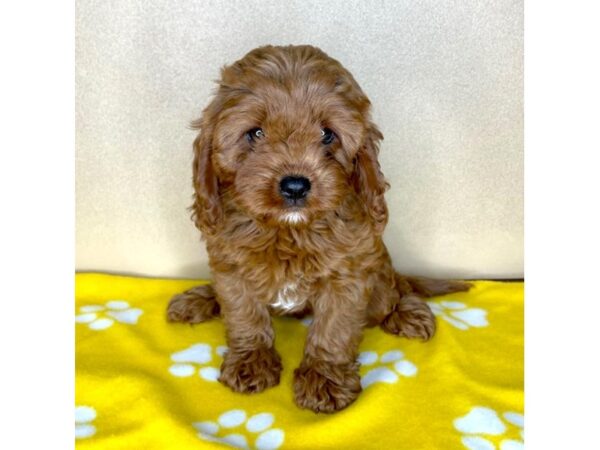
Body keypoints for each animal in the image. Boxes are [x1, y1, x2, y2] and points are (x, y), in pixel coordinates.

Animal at [166, 46, 472, 414]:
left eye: (327, 134)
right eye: (255, 133)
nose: (295, 186)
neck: (288, 232)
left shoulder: (348, 276)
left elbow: (333, 330)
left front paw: (324, 380)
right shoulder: (231, 268)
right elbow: (243, 314)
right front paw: (251, 361)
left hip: (379, 279)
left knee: (392, 292)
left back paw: (406, 312)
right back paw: (197, 300)